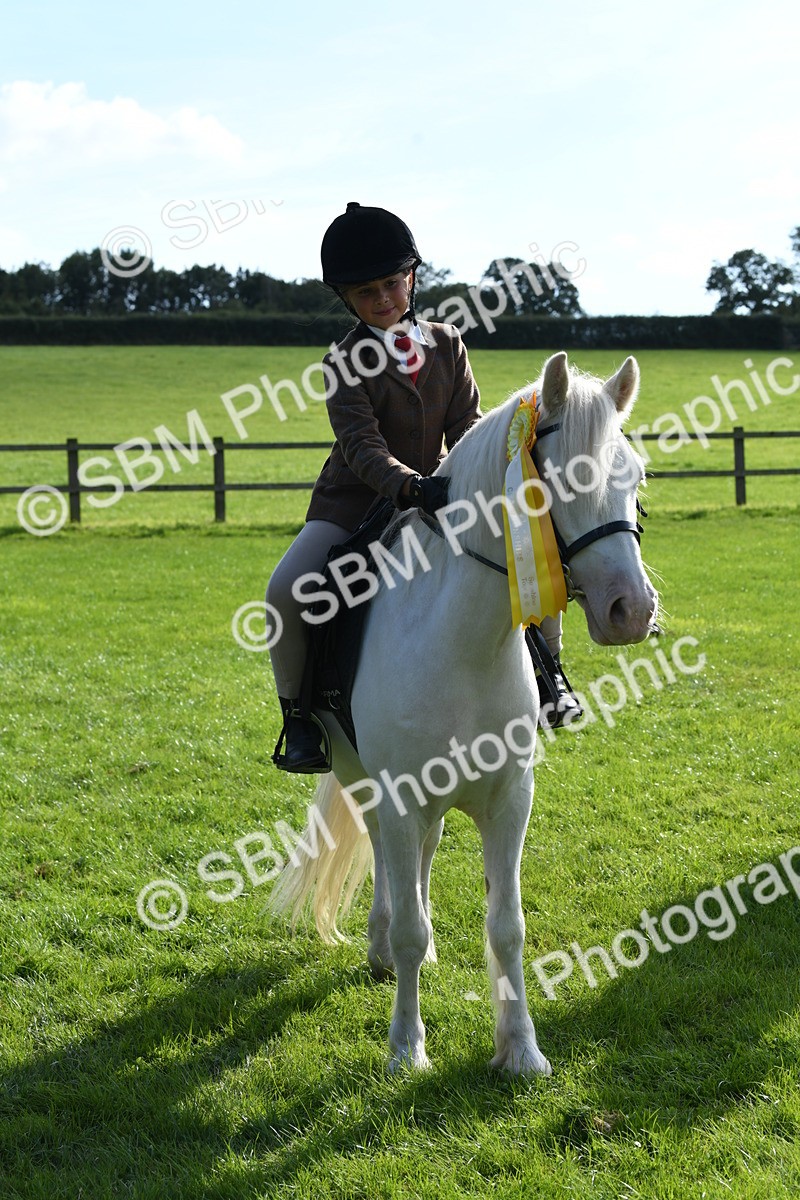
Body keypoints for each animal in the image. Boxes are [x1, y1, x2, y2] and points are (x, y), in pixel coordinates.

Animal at [267, 350, 659, 1076]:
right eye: (559, 481)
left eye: (636, 476)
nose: (632, 611)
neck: (467, 642)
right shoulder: (399, 792)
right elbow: (411, 929)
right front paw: (405, 1048)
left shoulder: (509, 800)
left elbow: (507, 926)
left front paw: (521, 1050)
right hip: (361, 775)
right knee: (388, 858)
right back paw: (379, 946)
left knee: (420, 854)